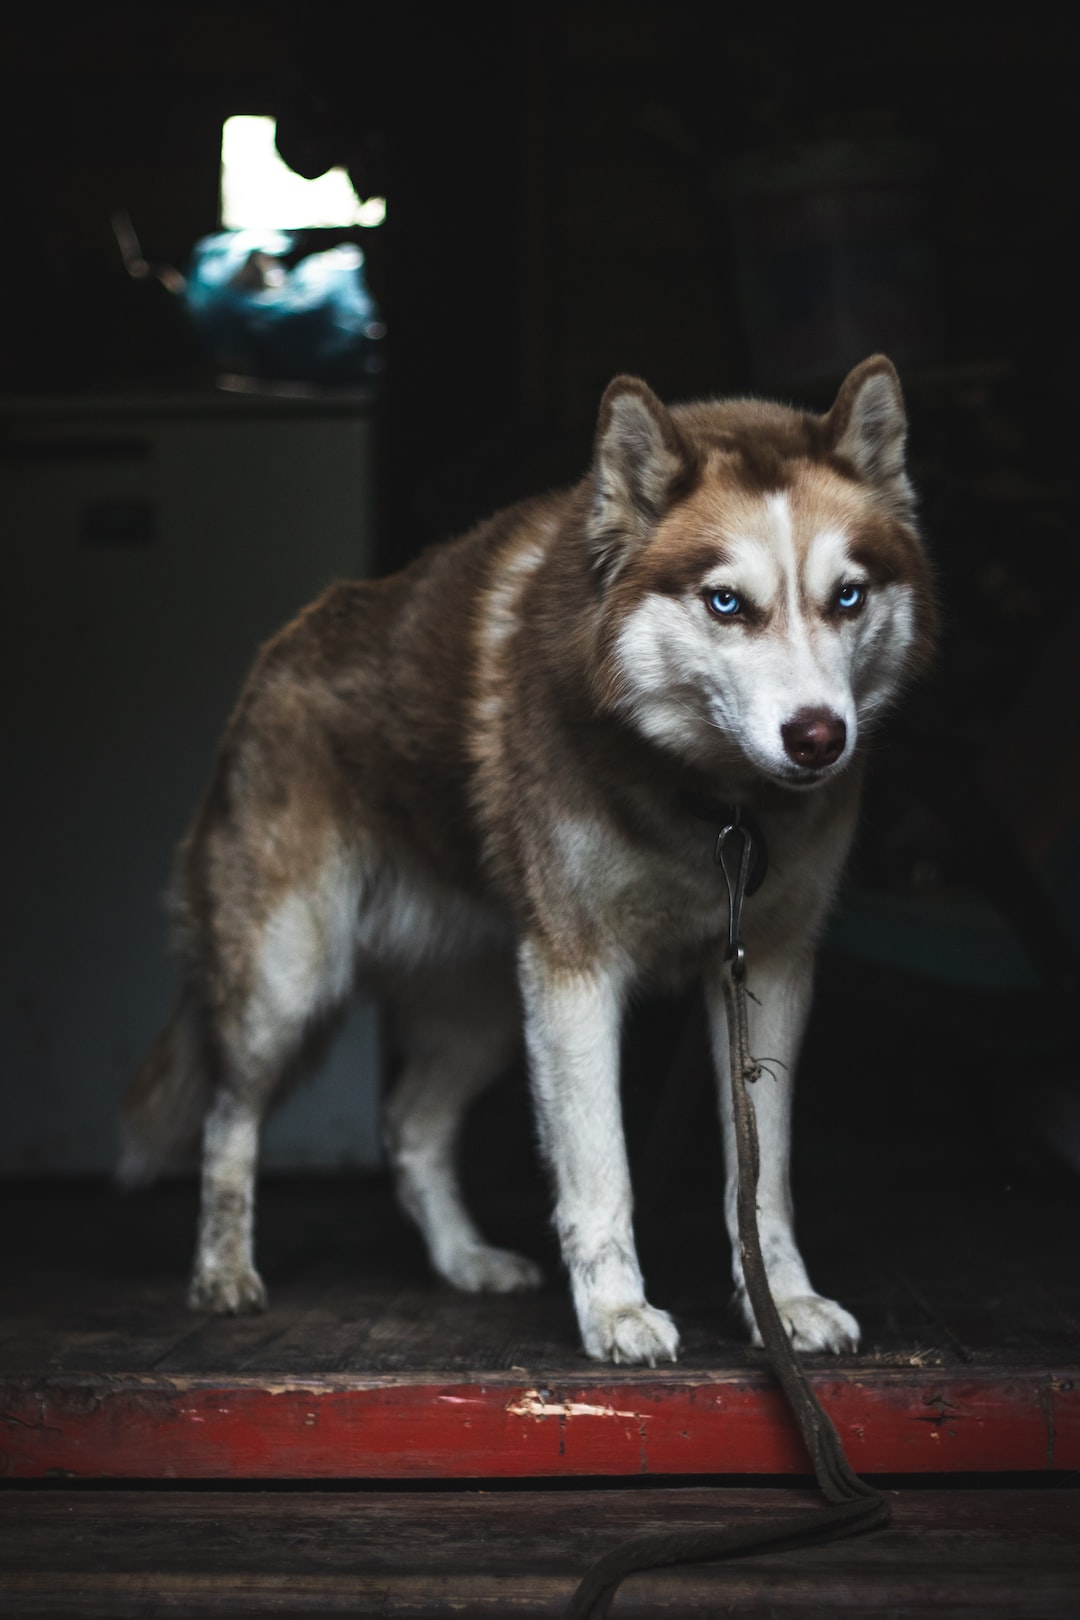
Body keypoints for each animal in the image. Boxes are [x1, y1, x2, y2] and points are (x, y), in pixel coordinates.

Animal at [122, 358, 939, 1367]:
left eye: (848, 596)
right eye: (725, 603)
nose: (820, 737)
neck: (712, 807)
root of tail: (286, 645)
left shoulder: (768, 969)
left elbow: (764, 1181)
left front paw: (782, 1306)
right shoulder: (576, 976)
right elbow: (600, 1171)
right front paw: (618, 1314)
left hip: (485, 1009)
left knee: (410, 1126)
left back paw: (465, 1260)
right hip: (288, 980)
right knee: (229, 1117)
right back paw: (224, 1270)